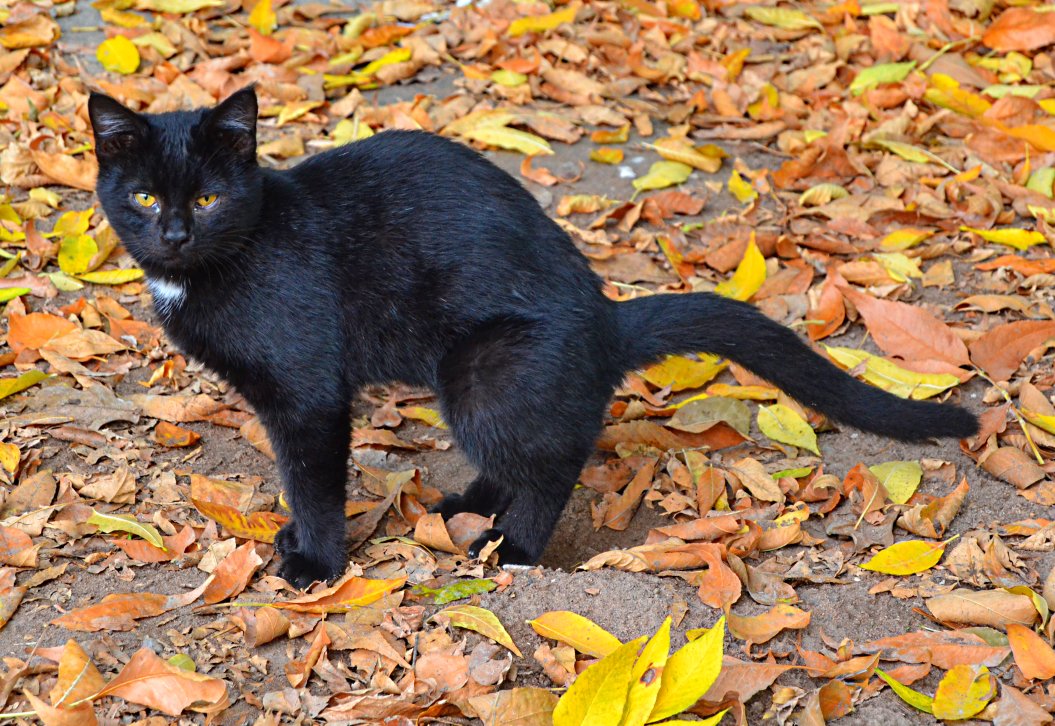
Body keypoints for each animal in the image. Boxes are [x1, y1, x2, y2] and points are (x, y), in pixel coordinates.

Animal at [90, 86, 979, 582]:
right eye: (143, 197)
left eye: (207, 199)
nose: (172, 233)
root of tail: (606, 315)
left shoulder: (308, 394)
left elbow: (311, 483)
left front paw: (316, 563)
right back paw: (469, 508)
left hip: (486, 371)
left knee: (551, 467)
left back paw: (513, 550)